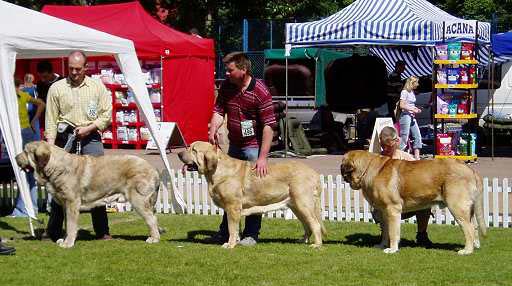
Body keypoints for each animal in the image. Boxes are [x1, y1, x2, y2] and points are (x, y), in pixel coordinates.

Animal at [15, 141, 160, 248]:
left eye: (25, 151)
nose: (15, 158)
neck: (54, 166)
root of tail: (153, 169)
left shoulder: (72, 203)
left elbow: (71, 225)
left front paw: (68, 243)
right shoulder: (65, 205)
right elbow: (67, 224)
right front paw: (65, 239)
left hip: (138, 200)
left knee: (151, 219)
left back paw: (154, 238)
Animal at [178, 141, 326, 248]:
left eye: (194, 150)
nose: (179, 154)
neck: (217, 169)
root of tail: (315, 174)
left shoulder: (232, 207)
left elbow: (231, 228)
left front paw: (230, 245)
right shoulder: (234, 210)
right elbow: (235, 228)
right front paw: (235, 242)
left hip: (303, 204)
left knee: (315, 224)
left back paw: (316, 245)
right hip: (296, 206)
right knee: (307, 225)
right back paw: (303, 240)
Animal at [342, 150, 486, 255]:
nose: (342, 174)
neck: (368, 169)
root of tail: (470, 170)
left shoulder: (393, 210)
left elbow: (393, 232)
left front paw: (392, 249)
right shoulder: (384, 213)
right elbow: (385, 232)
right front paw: (382, 245)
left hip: (456, 207)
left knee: (469, 228)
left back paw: (467, 250)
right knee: (474, 226)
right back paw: (476, 245)